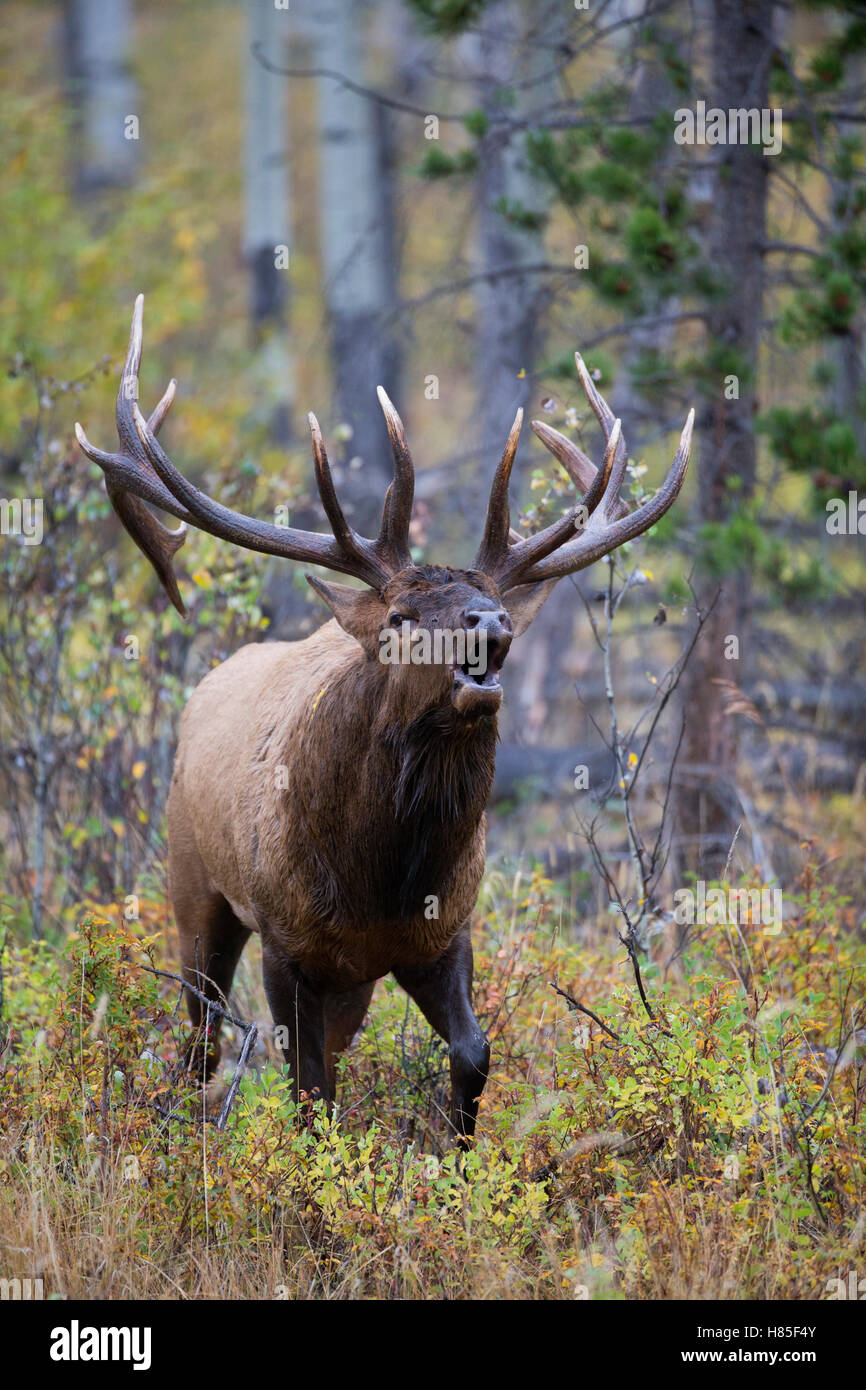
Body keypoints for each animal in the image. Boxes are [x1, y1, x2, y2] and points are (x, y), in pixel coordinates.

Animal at [77, 298, 695, 1145]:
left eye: (489, 600)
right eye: (401, 616)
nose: (491, 622)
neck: (380, 879)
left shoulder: (441, 936)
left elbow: (473, 1053)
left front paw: (456, 1160)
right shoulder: (287, 944)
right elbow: (309, 1095)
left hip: (349, 982)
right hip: (191, 885)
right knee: (199, 1040)